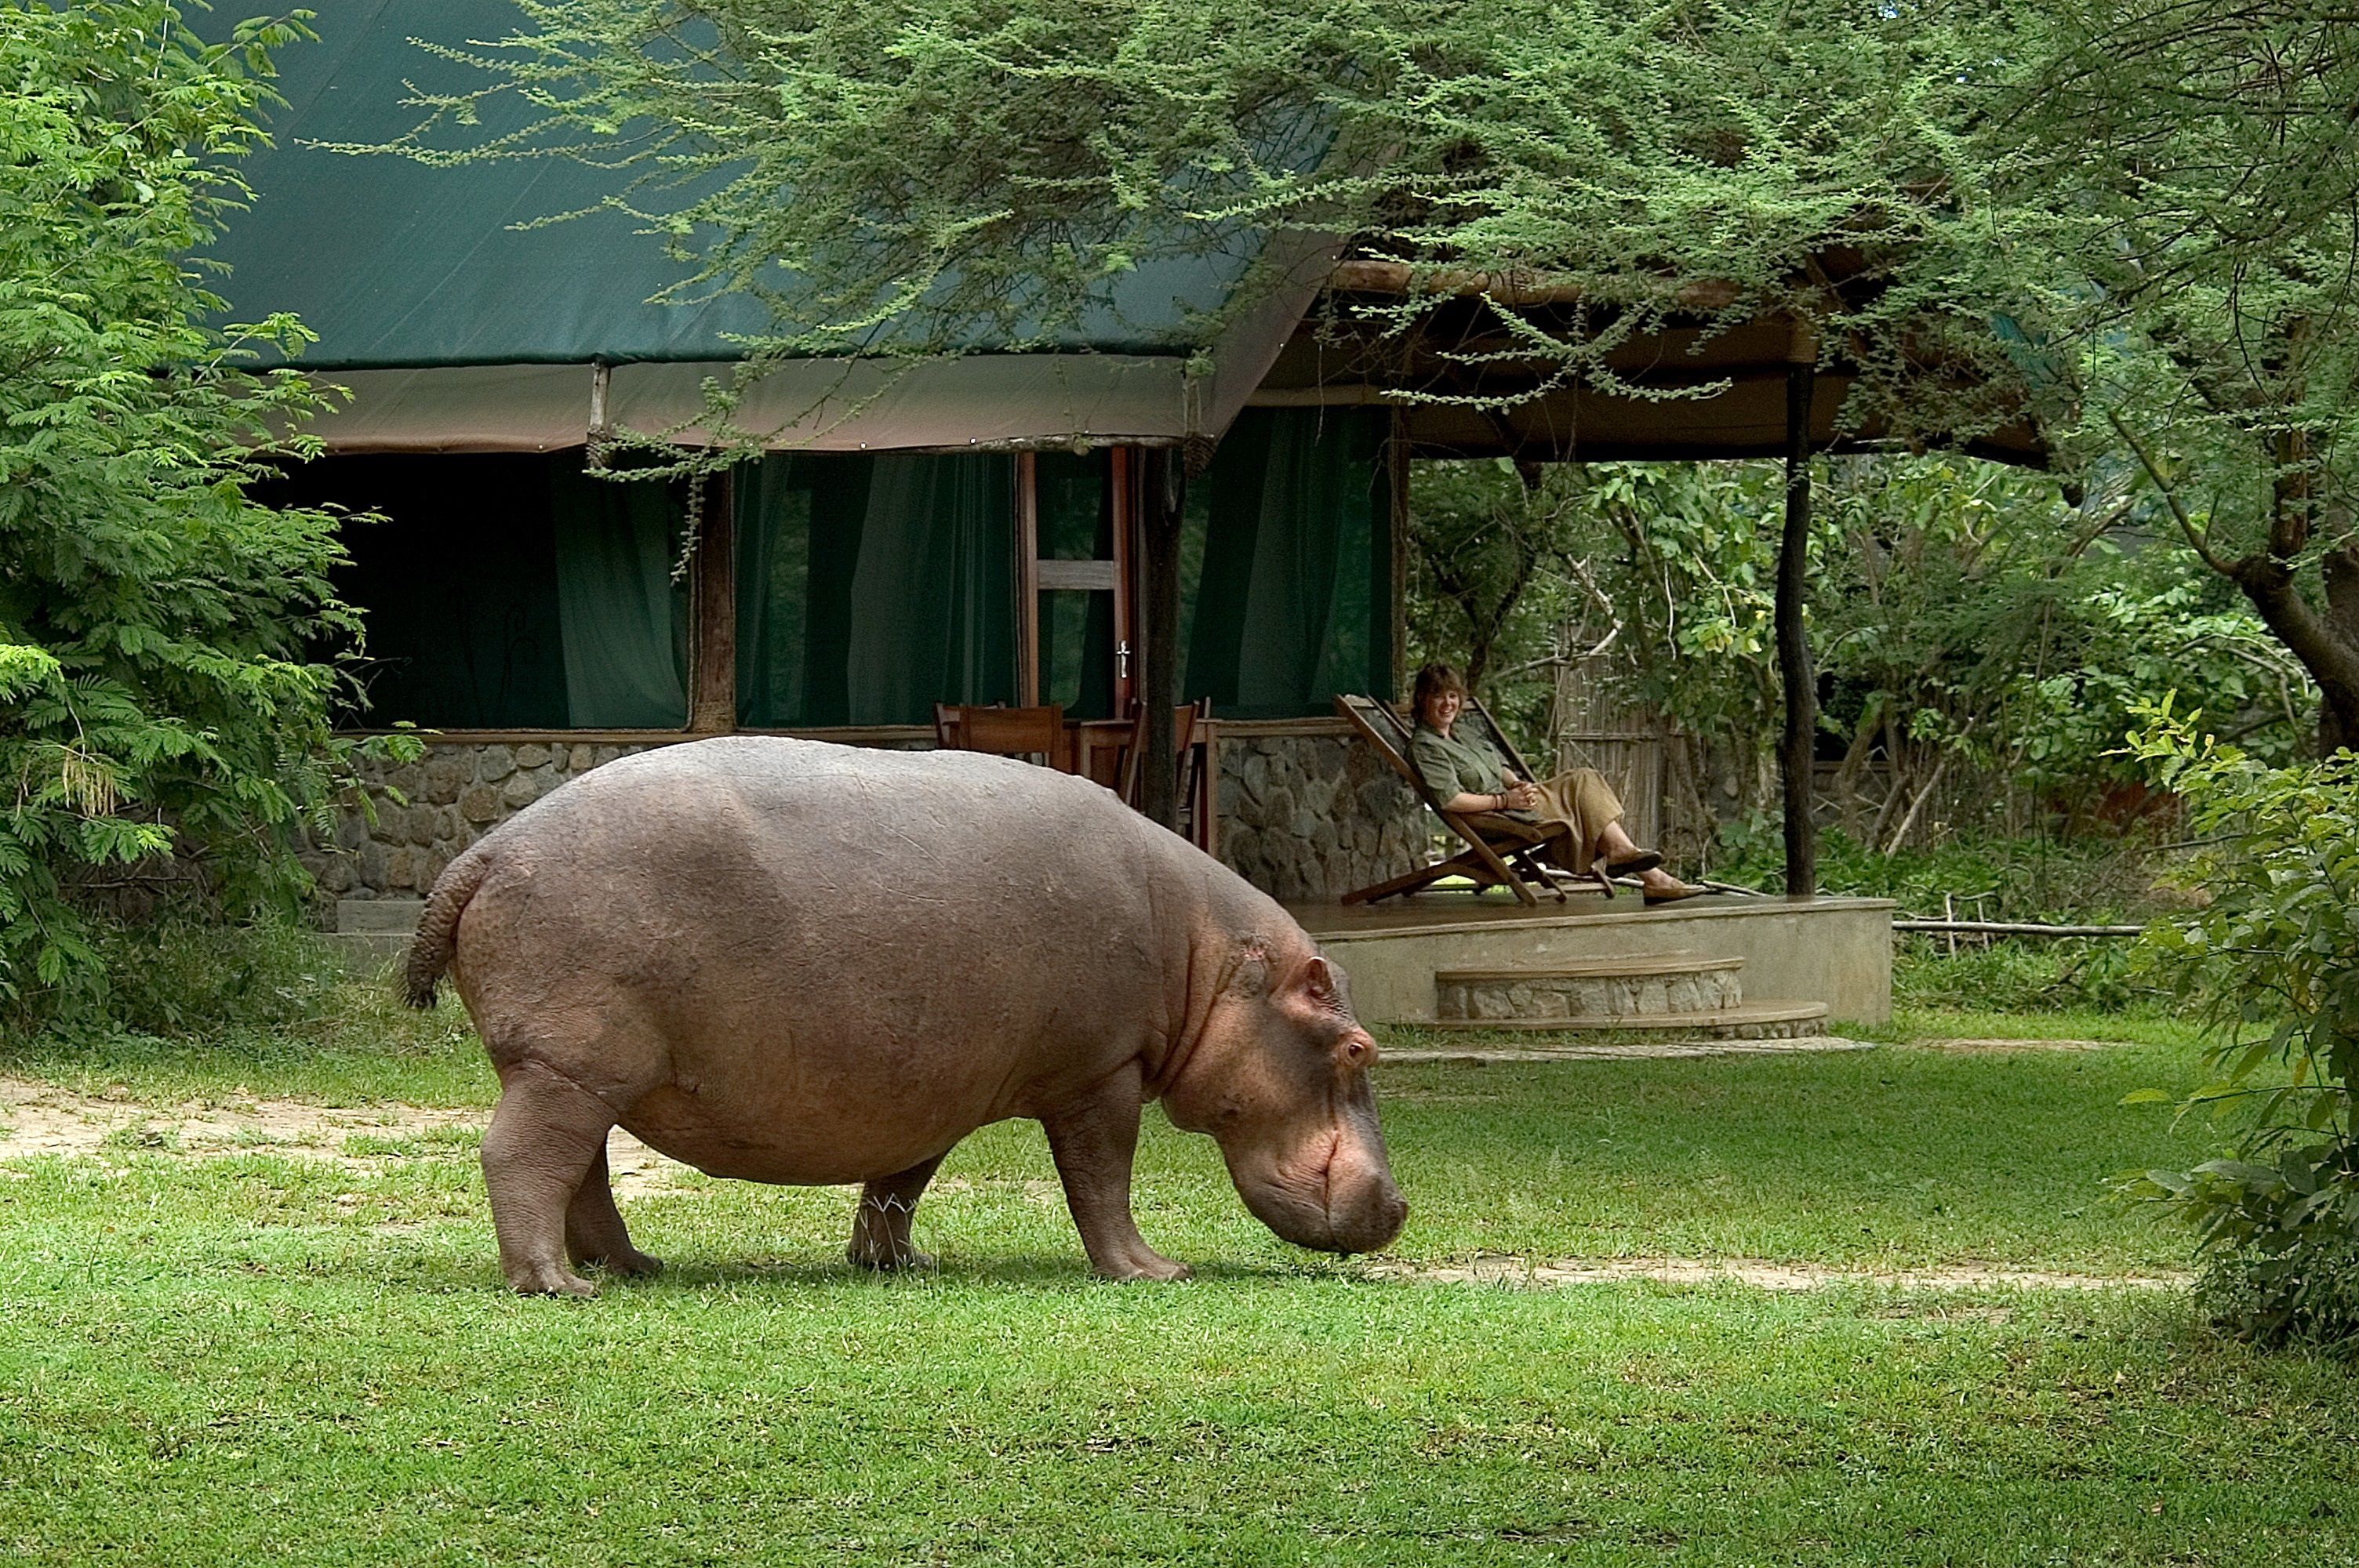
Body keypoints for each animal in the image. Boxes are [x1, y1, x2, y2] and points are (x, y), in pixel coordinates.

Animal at [404, 736, 1407, 1294]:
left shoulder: (931, 1085)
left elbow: (899, 1183)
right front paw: (1156, 1271)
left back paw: (632, 1267)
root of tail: (485, 849)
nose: (1400, 1203)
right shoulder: (1101, 1073)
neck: (1207, 959)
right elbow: (1100, 1180)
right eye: (1359, 1046)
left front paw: (894, 1264)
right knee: (522, 1158)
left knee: (583, 1173)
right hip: (569, 1063)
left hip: (586, 1071)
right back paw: (555, 1286)